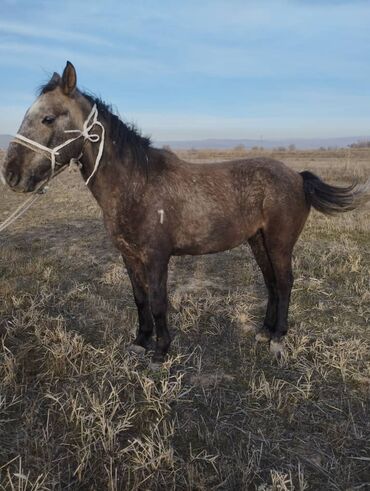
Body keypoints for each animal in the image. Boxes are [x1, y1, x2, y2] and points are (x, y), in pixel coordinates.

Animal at [2, 62, 368, 366]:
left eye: (49, 118)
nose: (11, 174)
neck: (136, 182)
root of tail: (297, 177)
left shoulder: (156, 257)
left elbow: (159, 301)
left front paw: (160, 351)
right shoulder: (129, 256)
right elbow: (140, 299)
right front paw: (140, 342)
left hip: (279, 243)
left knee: (286, 282)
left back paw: (278, 338)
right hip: (257, 241)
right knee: (272, 283)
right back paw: (264, 332)